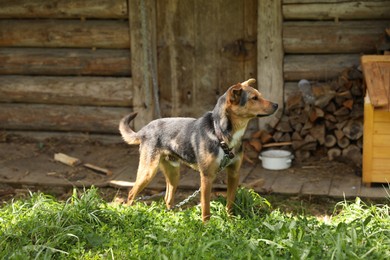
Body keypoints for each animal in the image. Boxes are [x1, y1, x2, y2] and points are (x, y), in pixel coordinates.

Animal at [119, 78, 278, 220]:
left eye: (260, 95)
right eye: (254, 98)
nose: (276, 104)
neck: (221, 133)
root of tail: (144, 130)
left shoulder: (234, 173)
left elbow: (230, 203)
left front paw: (230, 221)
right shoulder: (207, 177)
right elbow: (206, 207)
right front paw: (207, 226)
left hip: (174, 174)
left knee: (167, 198)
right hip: (148, 171)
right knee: (131, 193)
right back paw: (128, 215)